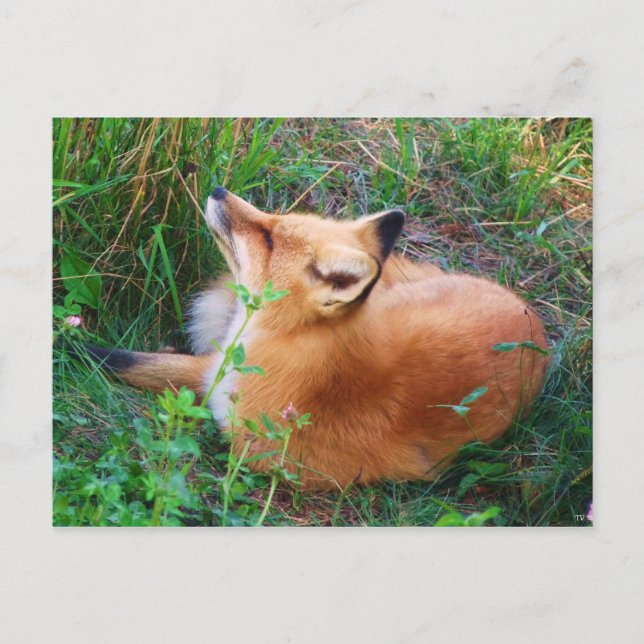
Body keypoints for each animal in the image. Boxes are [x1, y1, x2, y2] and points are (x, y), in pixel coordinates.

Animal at [85, 187, 549, 490]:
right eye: (274, 219)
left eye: (269, 238)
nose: (217, 189)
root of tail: (537, 326)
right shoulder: (213, 373)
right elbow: (139, 361)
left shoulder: (247, 440)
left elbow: (127, 362)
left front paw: (74, 345)